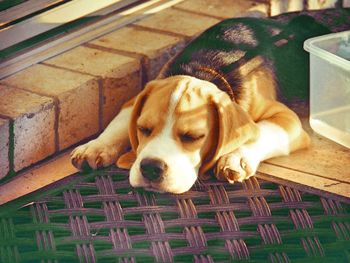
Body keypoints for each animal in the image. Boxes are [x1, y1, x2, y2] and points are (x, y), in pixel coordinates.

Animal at [70, 10, 350, 194]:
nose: (150, 169)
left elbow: (259, 132)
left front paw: (236, 158)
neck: (206, 68)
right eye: (143, 129)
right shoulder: (139, 95)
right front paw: (94, 147)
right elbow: (118, 124)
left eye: (193, 137)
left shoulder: (286, 119)